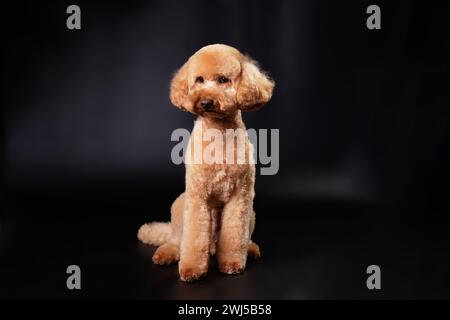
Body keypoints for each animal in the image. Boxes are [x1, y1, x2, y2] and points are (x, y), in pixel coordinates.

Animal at [137, 43, 274, 282]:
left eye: (223, 80)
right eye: (199, 80)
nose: (206, 102)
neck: (218, 132)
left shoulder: (241, 197)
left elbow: (234, 235)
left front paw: (232, 263)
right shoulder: (197, 195)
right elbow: (193, 238)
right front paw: (191, 269)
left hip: (251, 213)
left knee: (235, 238)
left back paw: (249, 248)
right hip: (180, 205)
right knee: (176, 240)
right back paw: (167, 253)